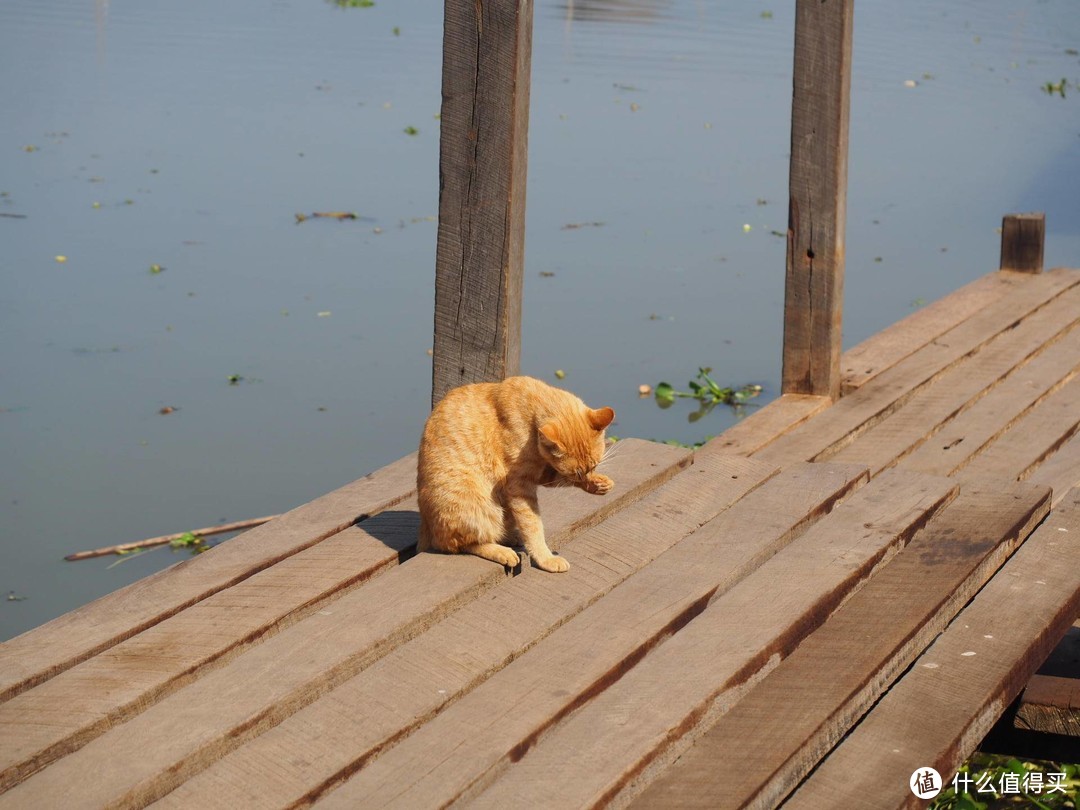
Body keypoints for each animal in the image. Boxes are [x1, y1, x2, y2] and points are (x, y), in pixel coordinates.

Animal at [414, 378, 617, 574]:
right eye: (577, 474)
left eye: (593, 466)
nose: (586, 478)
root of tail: (425, 526)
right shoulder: (520, 486)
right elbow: (533, 525)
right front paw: (546, 558)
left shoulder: (542, 473)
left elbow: (558, 481)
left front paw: (598, 483)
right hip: (476, 508)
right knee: (457, 544)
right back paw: (502, 551)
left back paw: (511, 536)